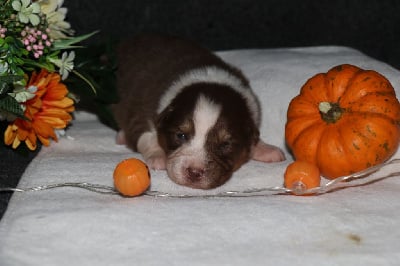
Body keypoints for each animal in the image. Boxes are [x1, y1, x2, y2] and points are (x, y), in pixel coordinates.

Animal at [112, 34, 284, 189]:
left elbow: (254, 137)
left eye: (225, 144)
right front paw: (157, 155)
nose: (194, 172)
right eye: (181, 135)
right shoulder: (140, 112)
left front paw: (265, 148)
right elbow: (146, 136)